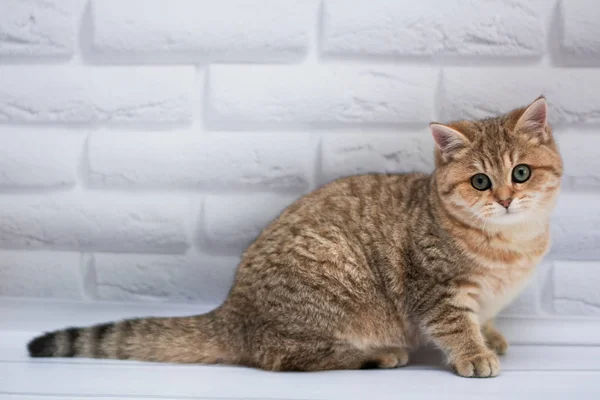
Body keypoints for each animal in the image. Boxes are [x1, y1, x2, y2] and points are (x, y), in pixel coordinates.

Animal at [27, 97, 564, 378]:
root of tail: (232, 312)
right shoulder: (434, 289)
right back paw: (375, 354)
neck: (510, 244)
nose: (505, 199)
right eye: (480, 181)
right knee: (281, 356)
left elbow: (482, 316)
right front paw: (474, 353)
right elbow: (454, 324)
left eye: (520, 172)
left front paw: (490, 335)